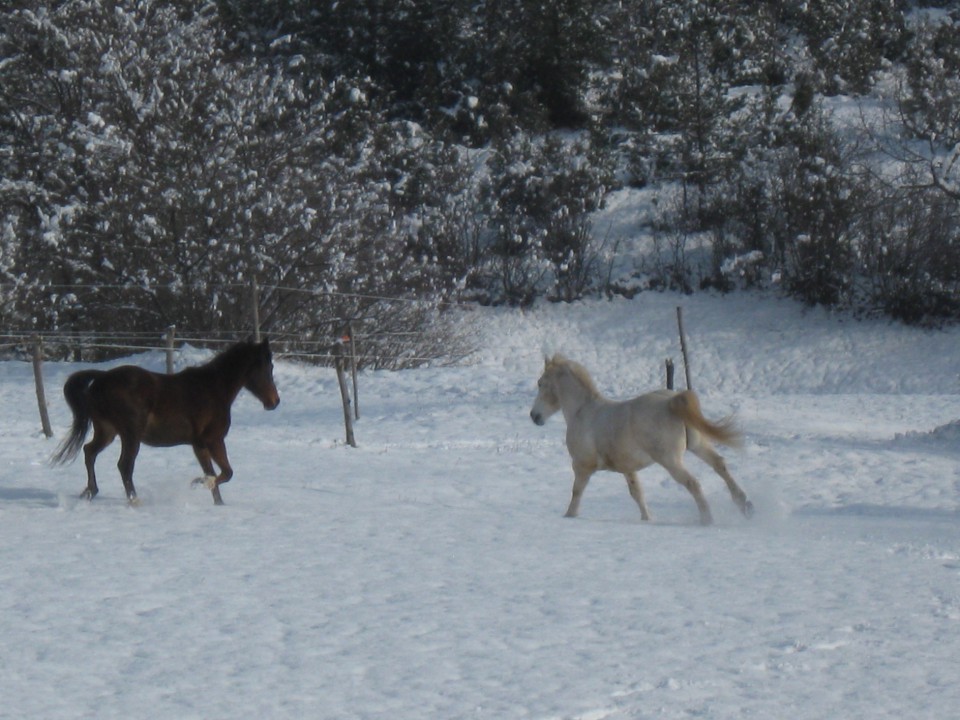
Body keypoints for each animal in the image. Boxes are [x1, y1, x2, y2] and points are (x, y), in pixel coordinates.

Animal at [52, 338, 280, 504]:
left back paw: (90, 492)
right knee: (124, 465)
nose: (274, 402)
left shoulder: (199, 445)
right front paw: (199, 483)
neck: (214, 389)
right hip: (130, 435)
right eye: (267, 368)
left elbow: (214, 473)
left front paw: (216, 501)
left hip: (107, 431)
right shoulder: (213, 440)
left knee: (89, 451)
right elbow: (226, 473)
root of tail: (102, 379)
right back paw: (134, 501)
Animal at [528, 358, 752, 524]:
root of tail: (671, 401)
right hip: (698, 446)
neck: (582, 412)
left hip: (670, 460)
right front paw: (647, 518)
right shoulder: (628, 468)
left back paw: (707, 519)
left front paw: (569, 516)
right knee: (720, 465)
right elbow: (637, 493)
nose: (534, 416)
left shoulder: (582, 466)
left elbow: (576, 492)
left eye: (541, 383)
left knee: (692, 482)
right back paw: (745, 505)